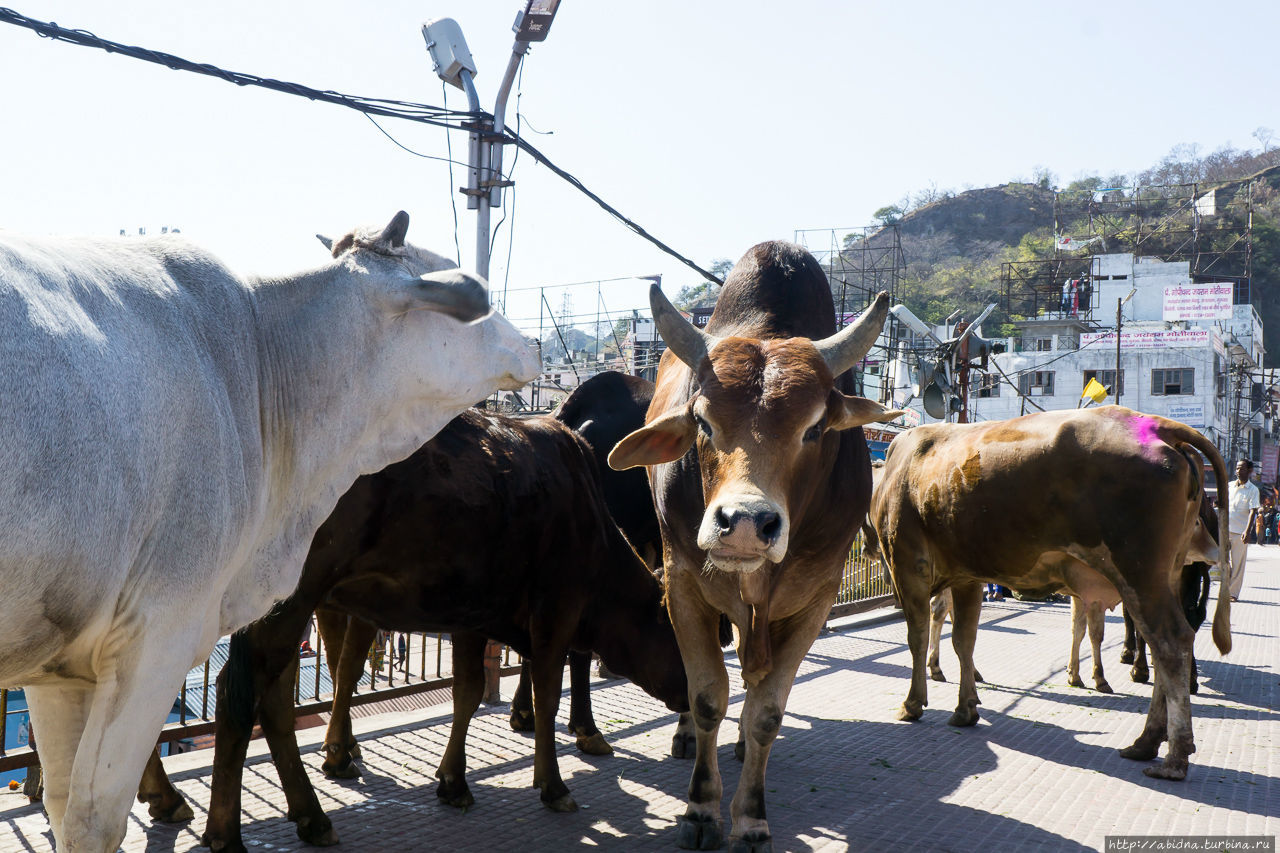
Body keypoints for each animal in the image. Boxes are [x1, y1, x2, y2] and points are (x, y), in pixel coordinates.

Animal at [0, 208, 540, 845]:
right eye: (460, 282)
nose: (533, 343)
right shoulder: (155, 635)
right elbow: (93, 821)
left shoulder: (62, 668)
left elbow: (64, 806)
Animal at [197, 409, 691, 845]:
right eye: (682, 636)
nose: (697, 697)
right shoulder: (557, 609)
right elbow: (547, 697)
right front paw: (553, 785)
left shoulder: (474, 612)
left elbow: (467, 693)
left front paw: (453, 780)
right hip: (291, 598)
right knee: (240, 694)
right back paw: (228, 833)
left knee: (275, 702)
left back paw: (310, 815)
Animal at [604, 240, 896, 850]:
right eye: (702, 421)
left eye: (815, 429)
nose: (743, 524)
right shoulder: (684, 585)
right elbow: (706, 695)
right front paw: (700, 809)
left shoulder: (815, 599)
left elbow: (766, 712)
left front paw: (751, 817)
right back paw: (688, 738)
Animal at [870, 404, 1228, 778]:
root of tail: (1158, 425)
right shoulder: (967, 575)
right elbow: (964, 639)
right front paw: (966, 708)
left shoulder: (906, 563)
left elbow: (917, 636)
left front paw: (912, 703)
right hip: (1168, 574)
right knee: (1162, 644)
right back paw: (1145, 743)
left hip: (1139, 573)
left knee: (1170, 641)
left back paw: (1174, 756)